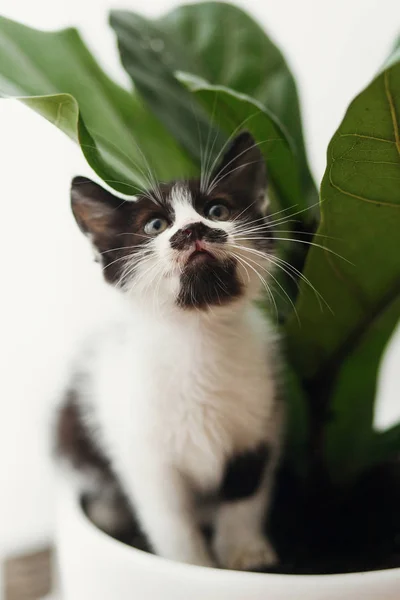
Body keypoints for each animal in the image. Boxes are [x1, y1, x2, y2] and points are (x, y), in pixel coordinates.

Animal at [55, 132, 284, 572]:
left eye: (217, 210)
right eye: (156, 225)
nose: (194, 228)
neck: (198, 339)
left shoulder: (261, 422)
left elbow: (245, 493)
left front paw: (244, 554)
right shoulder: (142, 450)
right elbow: (170, 518)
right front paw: (195, 566)